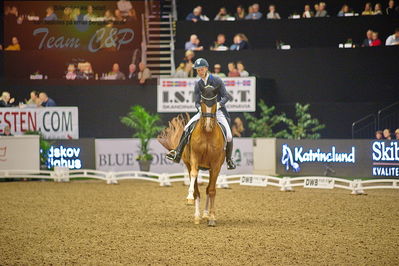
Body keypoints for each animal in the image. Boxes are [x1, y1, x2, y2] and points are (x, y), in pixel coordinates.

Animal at [159, 86, 227, 225]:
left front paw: (212, 217)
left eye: (214, 104)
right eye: (202, 102)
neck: (207, 135)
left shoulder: (216, 165)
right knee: (197, 189)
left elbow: (212, 190)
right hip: (188, 163)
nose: (208, 126)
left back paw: (205, 215)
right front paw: (189, 198)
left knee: (208, 189)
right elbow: (194, 176)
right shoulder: (194, 158)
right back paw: (197, 216)